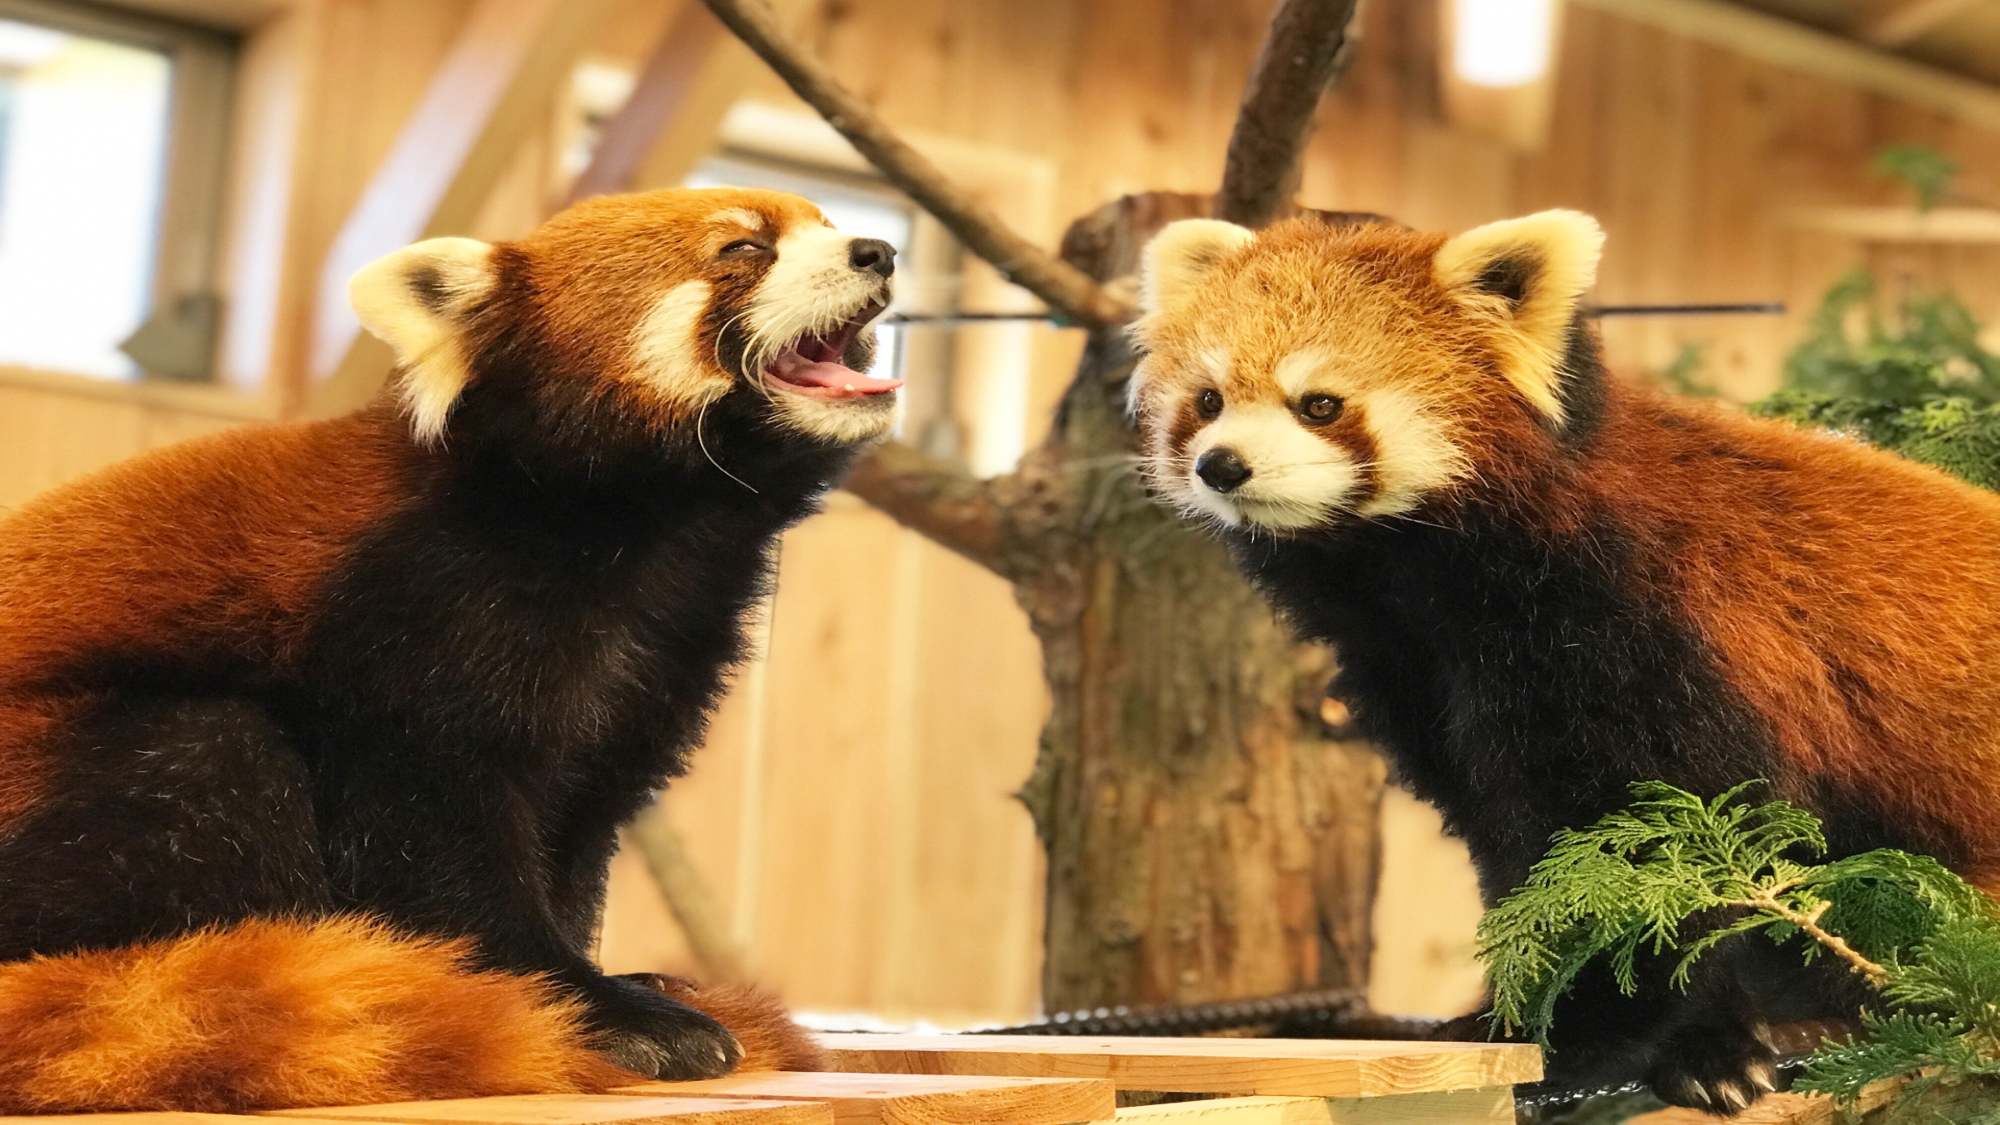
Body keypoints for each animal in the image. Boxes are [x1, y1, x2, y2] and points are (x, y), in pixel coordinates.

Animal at [0, 188, 900, 1104]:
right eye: (744, 249)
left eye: (828, 226)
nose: (879, 251)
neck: (644, 534)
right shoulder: (415, 609)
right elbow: (434, 834)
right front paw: (587, 1005)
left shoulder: (657, 658)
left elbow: (579, 824)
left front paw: (605, 974)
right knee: (211, 752)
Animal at [1128, 212, 2000, 1112]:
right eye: (1208, 399)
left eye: (1319, 404)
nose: (1221, 463)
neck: (1427, 579)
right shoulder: (1420, 671)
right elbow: (1513, 839)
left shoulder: (1643, 633)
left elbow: (1648, 847)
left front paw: (1592, 1035)